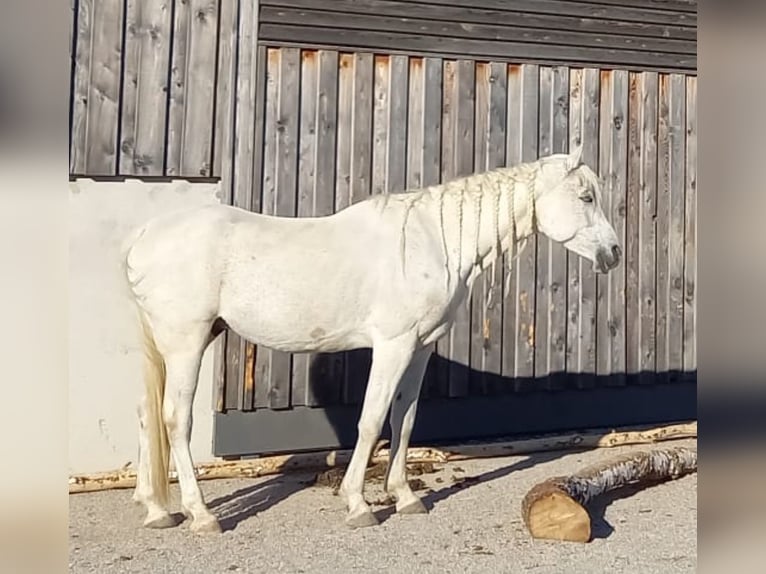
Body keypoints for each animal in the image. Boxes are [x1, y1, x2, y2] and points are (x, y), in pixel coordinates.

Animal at [121, 145, 624, 536]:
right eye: (585, 196)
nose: (614, 252)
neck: (433, 241)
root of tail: (144, 236)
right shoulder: (393, 346)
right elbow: (371, 420)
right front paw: (359, 504)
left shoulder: (420, 349)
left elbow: (404, 419)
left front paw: (404, 497)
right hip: (186, 343)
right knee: (174, 419)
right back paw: (202, 515)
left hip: (169, 344)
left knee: (146, 415)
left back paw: (156, 510)